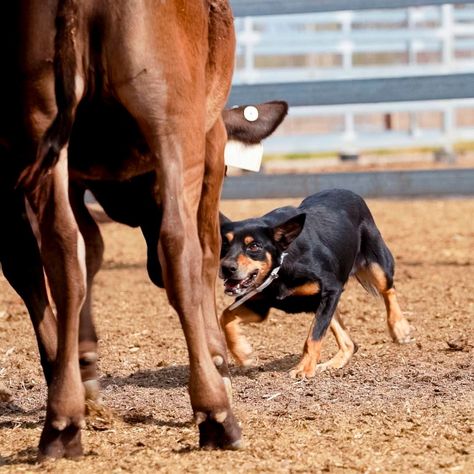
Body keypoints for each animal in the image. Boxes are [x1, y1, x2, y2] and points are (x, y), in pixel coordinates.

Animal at [0, 0, 270, 460]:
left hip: (40, 121)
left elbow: (88, 250)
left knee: (60, 252)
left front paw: (86, 365)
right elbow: (209, 249)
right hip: (173, 123)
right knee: (180, 247)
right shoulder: (211, 139)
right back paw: (215, 412)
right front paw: (218, 357)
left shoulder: (73, 175)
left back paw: (63, 419)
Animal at [219, 189, 412, 378]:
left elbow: (314, 336)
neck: (281, 264)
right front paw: (242, 354)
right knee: (350, 343)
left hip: (375, 265)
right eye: (224, 244)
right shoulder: (260, 304)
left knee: (388, 290)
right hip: (320, 303)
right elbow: (225, 316)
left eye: (254, 246)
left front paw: (303, 368)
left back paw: (399, 328)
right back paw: (330, 365)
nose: (227, 268)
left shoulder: (332, 289)